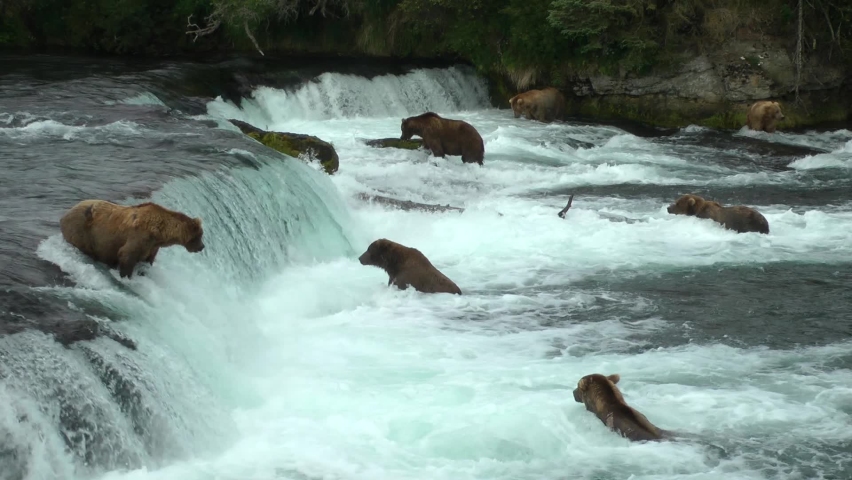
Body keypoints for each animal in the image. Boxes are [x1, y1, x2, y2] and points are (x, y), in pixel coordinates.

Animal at [59, 199, 205, 279]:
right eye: (199, 236)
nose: (202, 247)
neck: (160, 233)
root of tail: (64, 215)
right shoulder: (140, 237)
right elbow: (127, 254)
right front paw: (126, 275)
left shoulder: (152, 246)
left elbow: (147, 261)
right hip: (82, 232)